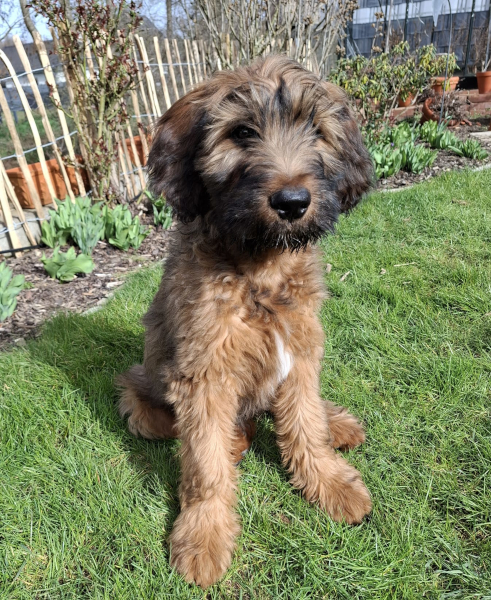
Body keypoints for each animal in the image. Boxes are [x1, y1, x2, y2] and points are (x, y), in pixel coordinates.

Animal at [118, 55, 373, 588]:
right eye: (240, 133)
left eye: (316, 131)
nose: (293, 202)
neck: (260, 269)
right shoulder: (204, 372)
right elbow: (205, 466)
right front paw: (204, 534)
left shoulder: (301, 347)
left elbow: (304, 423)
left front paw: (330, 482)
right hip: (140, 400)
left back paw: (336, 422)